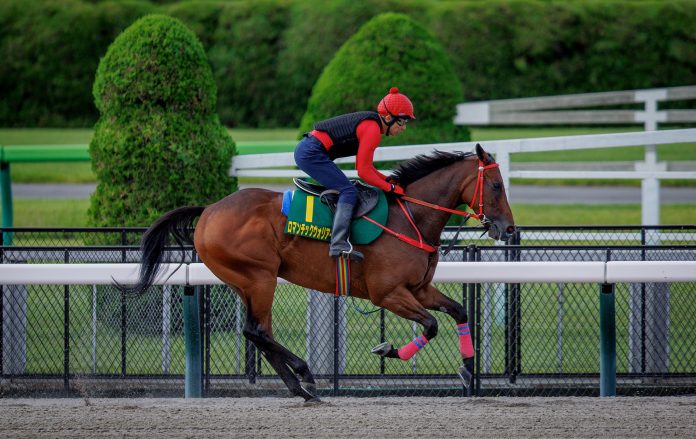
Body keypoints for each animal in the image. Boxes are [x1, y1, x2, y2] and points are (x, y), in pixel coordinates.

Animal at [121, 144, 512, 402]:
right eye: (496, 186)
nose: (508, 229)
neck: (410, 218)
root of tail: (209, 211)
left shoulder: (418, 289)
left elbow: (458, 311)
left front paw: (467, 369)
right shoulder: (388, 293)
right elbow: (430, 326)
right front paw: (387, 349)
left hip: (244, 282)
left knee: (258, 333)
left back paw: (301, 388)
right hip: (260, 278)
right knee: (257, 330)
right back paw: (305, 376)